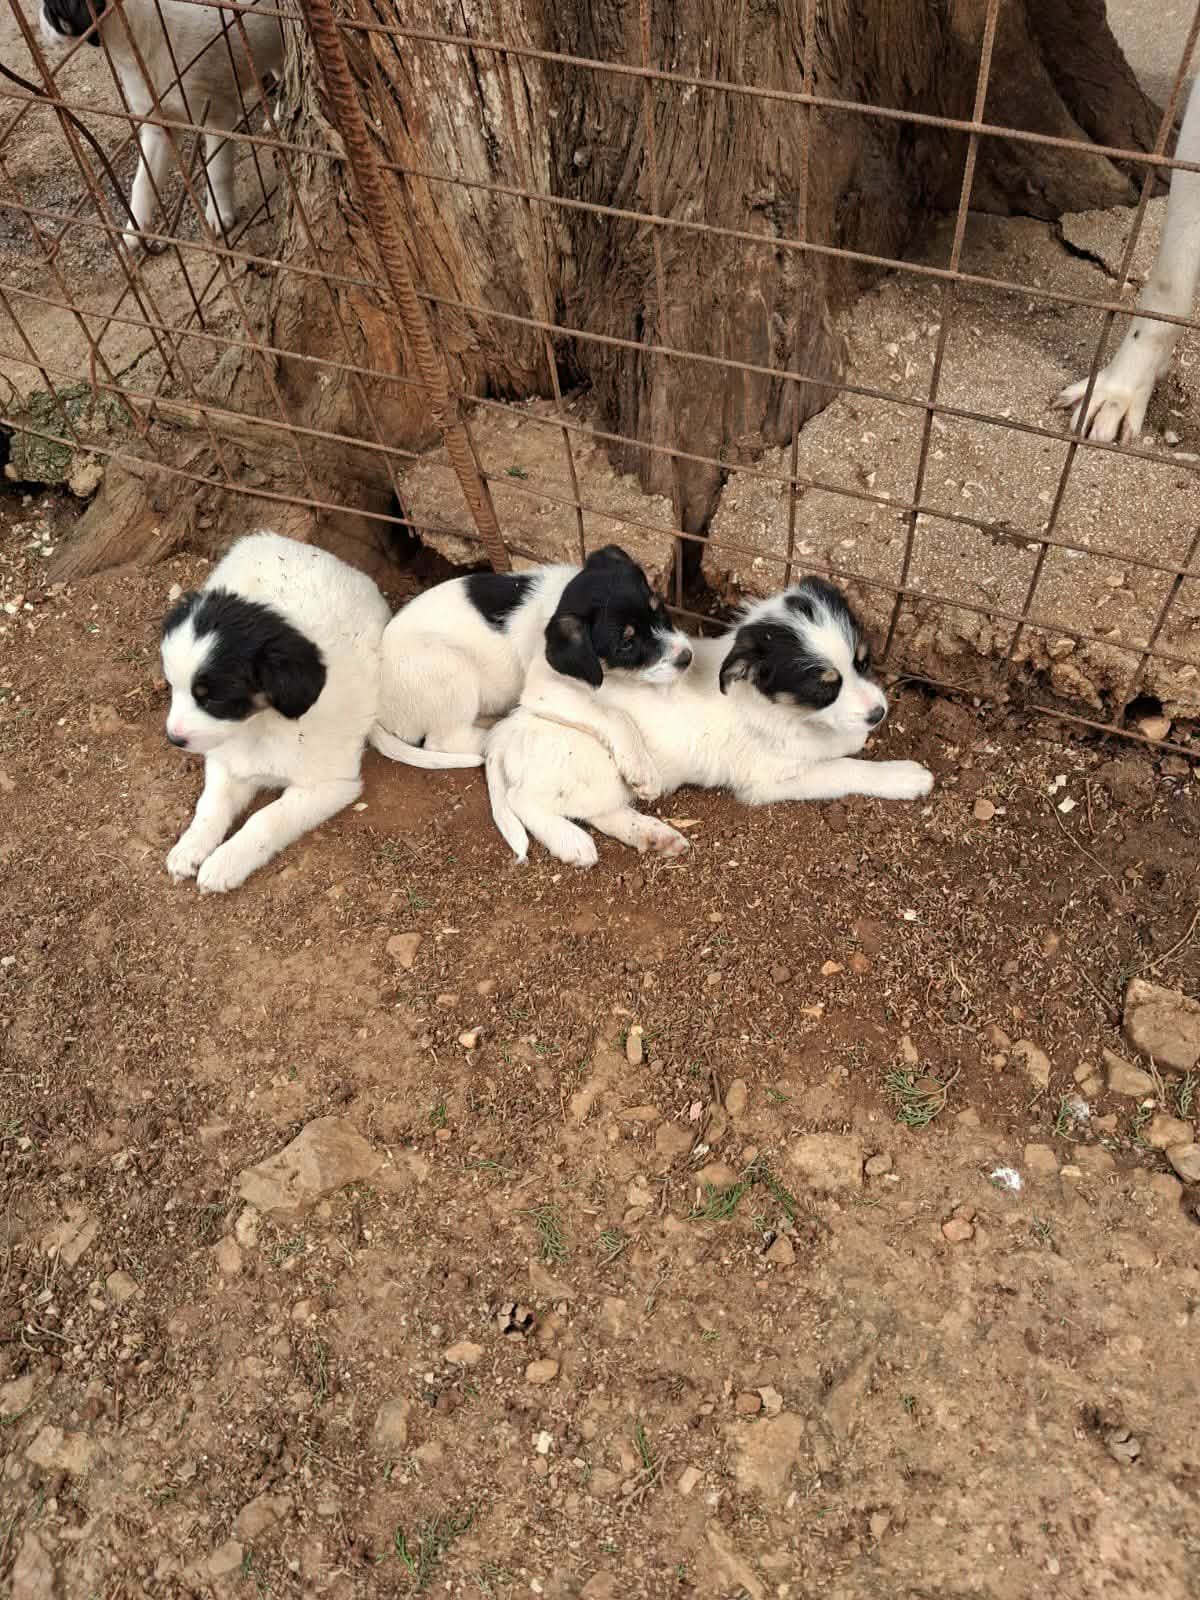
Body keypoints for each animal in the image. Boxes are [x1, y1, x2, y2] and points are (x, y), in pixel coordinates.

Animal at [40, 0, 285, 245]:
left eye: (49, 10)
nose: (39, 27)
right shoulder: (157, 128)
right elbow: (142, 183)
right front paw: (134, 231)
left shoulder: (216, 117)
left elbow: (217, 170)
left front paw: (218, 215)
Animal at [160, 530, 391, 893]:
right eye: (171, 686)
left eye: (213, 699)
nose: (173, 739)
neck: (259, 726)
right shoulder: (225, 761)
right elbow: (210, 806)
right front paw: (191, 846)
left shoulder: (332, 783)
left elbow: (266, 818)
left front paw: (225, 863)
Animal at [372, 545, 687, 769]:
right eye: (626, 644)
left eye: (660, 609)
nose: (686, 657)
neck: (558, 600)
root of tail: (379, 709)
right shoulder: (545, 690)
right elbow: (616, 716)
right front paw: (641, 769)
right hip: (450, 670)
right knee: (442, 741)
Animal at [486, 576, 934, 867]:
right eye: (824, 687)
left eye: (864, 662)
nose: (879, 713)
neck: (775, 708)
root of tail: (509, 730)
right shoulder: (767, 780)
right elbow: (845, 768)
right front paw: (904, 776)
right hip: (589, 762)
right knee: (526, 801)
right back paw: (571, 842)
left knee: (603, 811)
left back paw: (654, 836)